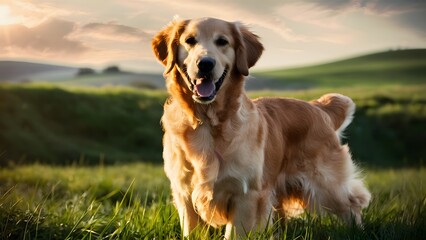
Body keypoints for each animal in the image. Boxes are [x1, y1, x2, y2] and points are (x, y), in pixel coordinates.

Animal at [151, 17, 372, 239]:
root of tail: (318, 107)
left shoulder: (246, 194)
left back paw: (358, 231)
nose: (205, 63)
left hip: (326, 185)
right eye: (190, 40)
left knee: (353, 203)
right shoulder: (185, 193)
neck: (207, 121)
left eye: (222, 41)